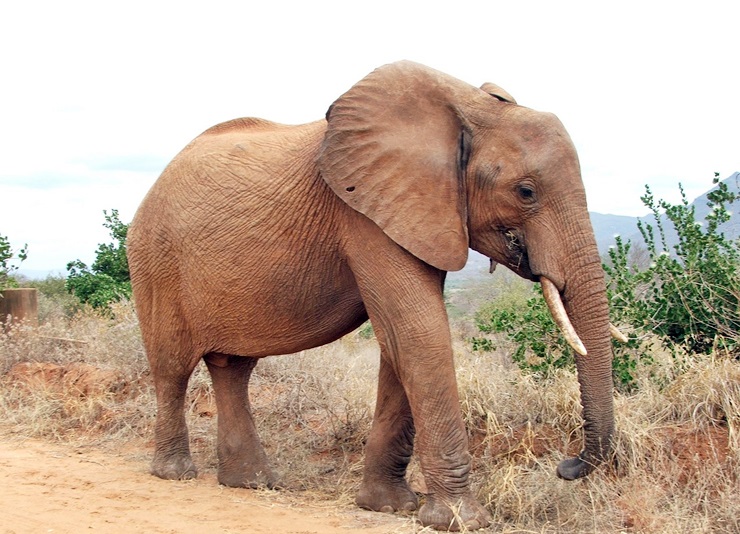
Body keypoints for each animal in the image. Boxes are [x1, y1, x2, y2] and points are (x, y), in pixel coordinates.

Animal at [129, 61, 620, 532]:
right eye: (526, 192)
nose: (567, 466)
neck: (469, 107)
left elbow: (400, 344)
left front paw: (387, 506)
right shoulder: (362, 212)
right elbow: (419, 333)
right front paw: (460, 521)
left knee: (233, 368)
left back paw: (251, 483)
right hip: (155, 259)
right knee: (172, 366)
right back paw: (176, 473)